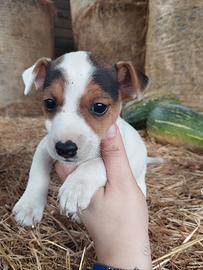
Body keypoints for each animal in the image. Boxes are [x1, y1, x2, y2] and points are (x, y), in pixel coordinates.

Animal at [12, 50, 149, 226]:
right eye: (49, 102)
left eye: (99, 107)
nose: (65, 149)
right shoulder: (45, 147)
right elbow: (37, 172)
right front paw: (29, 205)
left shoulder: (124, 158)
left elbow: (96, 163)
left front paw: (75, 187)